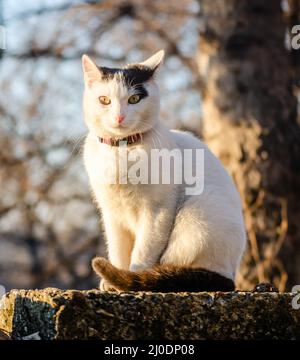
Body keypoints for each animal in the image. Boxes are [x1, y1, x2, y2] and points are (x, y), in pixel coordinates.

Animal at [81, 50, 246, 292]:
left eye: (134, 99)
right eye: (104, 100)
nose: (119, 117)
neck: (122, 151)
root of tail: (230, 276)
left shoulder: (157, 210)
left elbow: (143, 251)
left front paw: (131, 279)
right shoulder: (111, 214)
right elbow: (118, 250)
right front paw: (113, 282)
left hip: (196, 219)